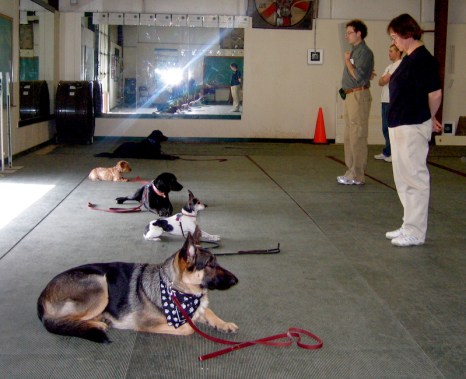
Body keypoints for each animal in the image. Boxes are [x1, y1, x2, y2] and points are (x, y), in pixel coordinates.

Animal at [36, 229, 238, 344]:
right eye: (211, 265)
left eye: (217, 262)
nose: (236, 280)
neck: (175, 289)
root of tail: (42, 297)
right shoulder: (148, 324)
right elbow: (189, 327)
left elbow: (208, 311)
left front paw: (224, 323)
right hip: (99, 283)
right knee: (61, 321)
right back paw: (97, 323)